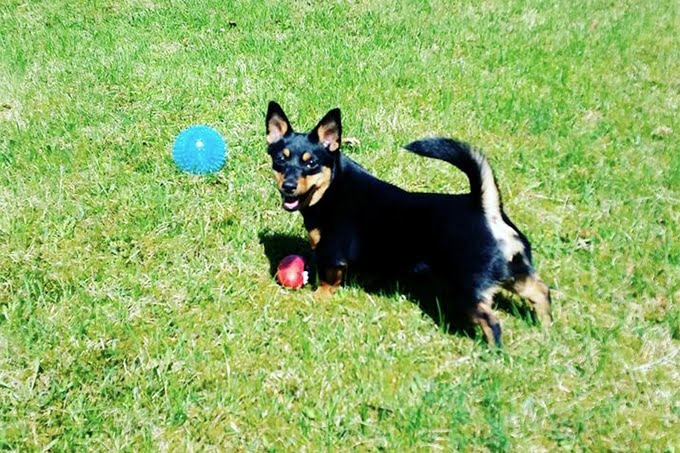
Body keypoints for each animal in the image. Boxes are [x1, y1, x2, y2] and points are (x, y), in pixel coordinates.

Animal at [262, 100, 548, 344]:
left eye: (311, 163)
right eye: (280, 160)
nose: (288, 186)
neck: (331, 187)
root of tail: (486, 208)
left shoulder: (331, 253)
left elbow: (329, 280)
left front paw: (318, 298)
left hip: (469, 288)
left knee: (493, 323)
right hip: (515, 271)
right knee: (541, 292)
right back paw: (547, 327)